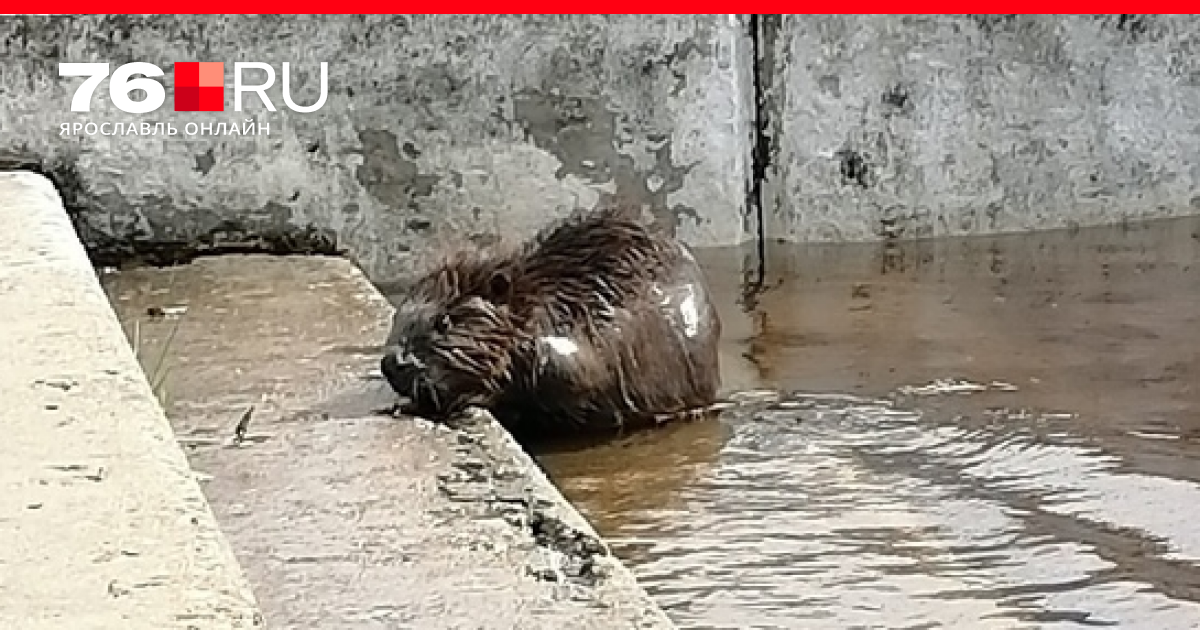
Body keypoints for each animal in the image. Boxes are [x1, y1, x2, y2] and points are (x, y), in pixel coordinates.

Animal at [379, 204, 720, 439]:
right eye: (398, 315)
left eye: (444, 322)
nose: (392, 362)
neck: (542, 304)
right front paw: (401, 405)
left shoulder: (571, 349)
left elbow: (578, 378)